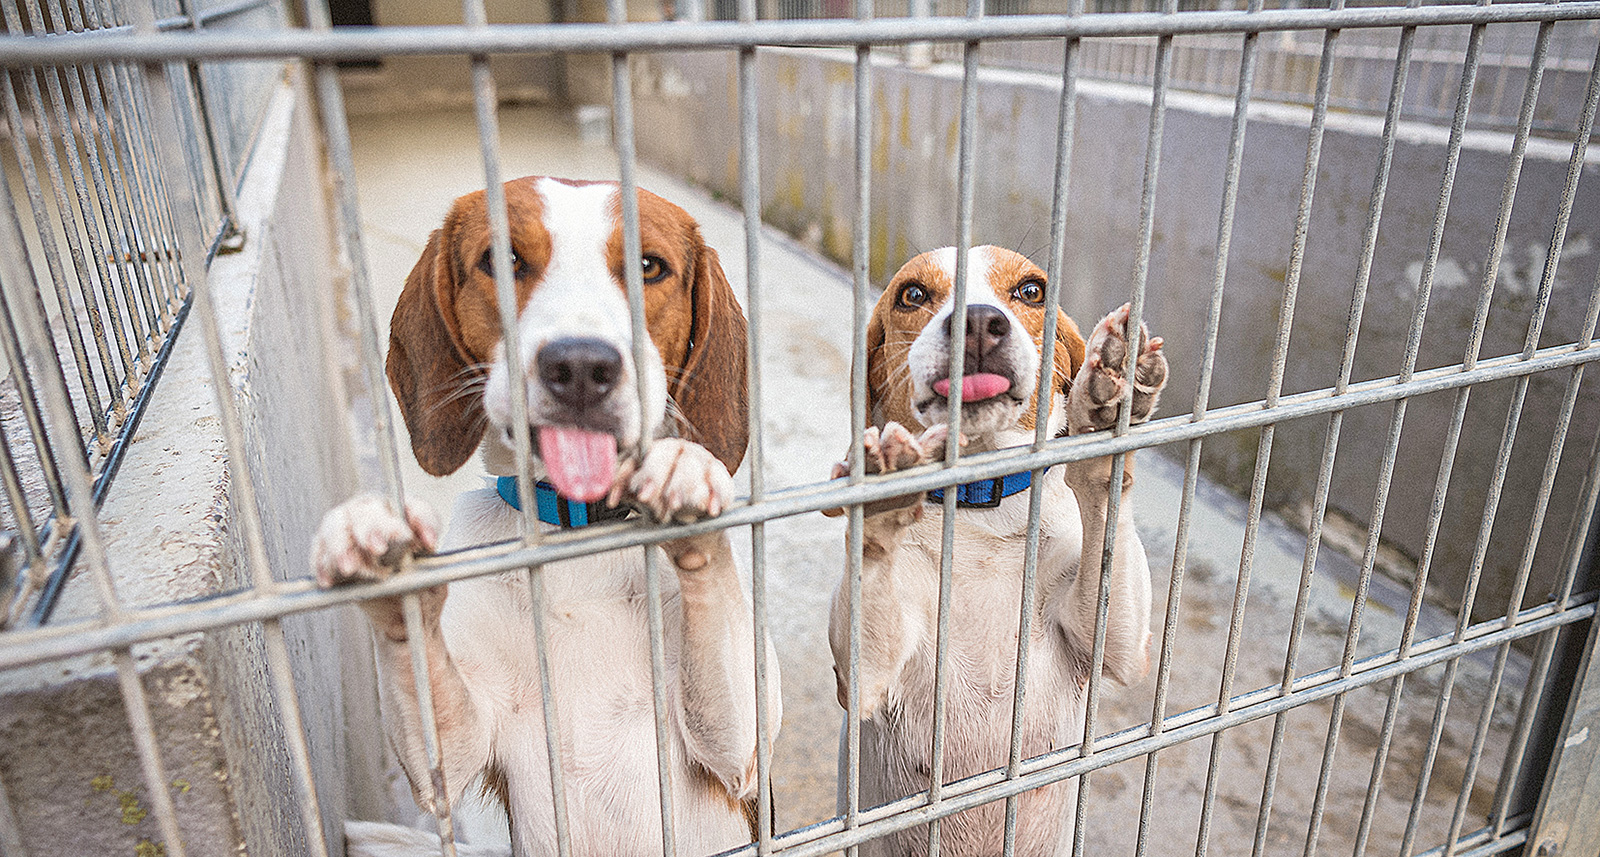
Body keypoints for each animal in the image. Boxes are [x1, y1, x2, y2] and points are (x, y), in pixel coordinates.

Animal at [308, 175, 777, 857]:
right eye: (502, 261)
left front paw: (684, 471)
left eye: (648, 266)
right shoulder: (454, 747)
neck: (576, 528)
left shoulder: (740, 749)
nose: (580, 365)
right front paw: (382, 551)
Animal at [832, 246, 1171, 857]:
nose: (977, 322)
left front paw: (1103, 413)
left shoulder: (1116, 646)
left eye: (1031, 291)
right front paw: (883, 488)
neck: (979, 500)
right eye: (913, 294)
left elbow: (1102, 499)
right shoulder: (862, 679)